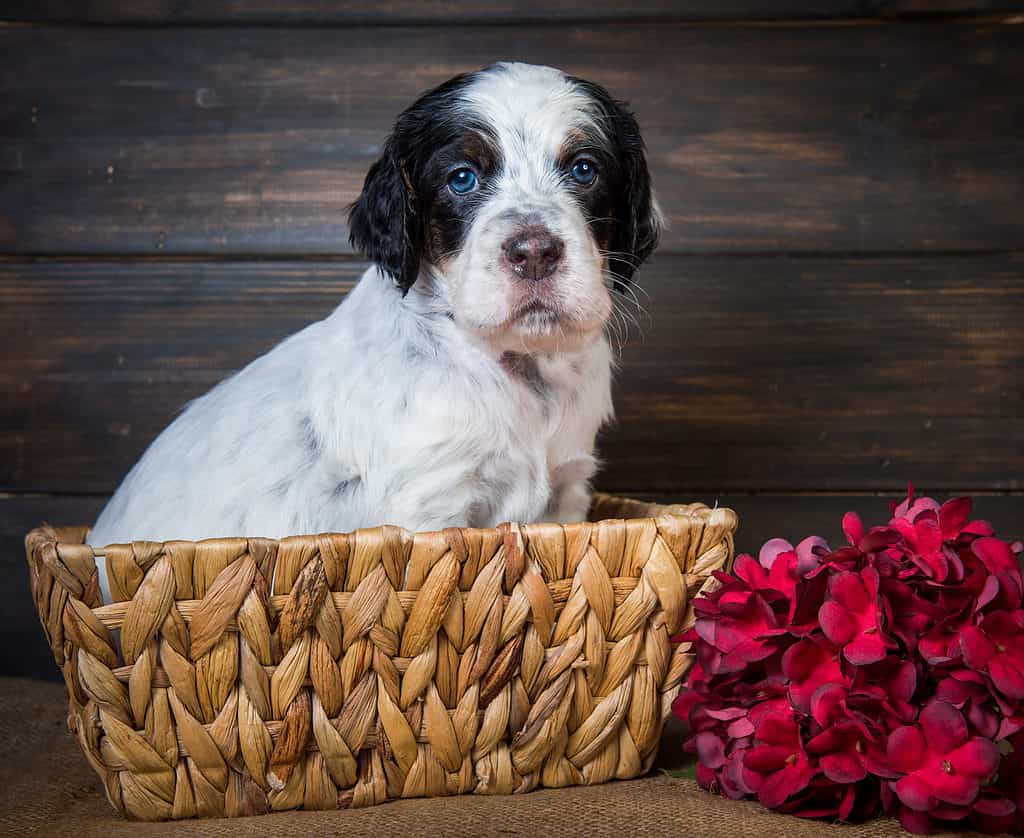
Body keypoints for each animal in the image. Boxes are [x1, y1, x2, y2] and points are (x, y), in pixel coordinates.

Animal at [88, 61, 663, 569]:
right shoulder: (430, 505)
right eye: (462, 179)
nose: (535, 252)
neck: (514, 366)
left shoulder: (564, 497)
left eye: (584, 169)